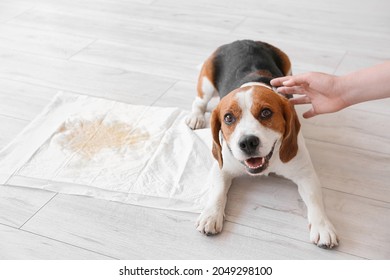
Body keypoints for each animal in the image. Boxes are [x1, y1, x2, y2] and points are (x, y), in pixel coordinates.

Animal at [186, 40, 338, 248]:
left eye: (266, 112)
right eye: (228, 118)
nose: (248, 142)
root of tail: (242, 41)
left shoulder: (305, 174)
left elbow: (315, 200)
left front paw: (322, 227)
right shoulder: (221, 168)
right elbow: (217, 192)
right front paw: (210, 216)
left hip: (288, 67)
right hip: (206, 84)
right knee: (198, 102)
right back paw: (196, 117)